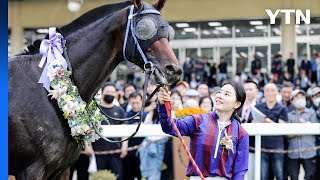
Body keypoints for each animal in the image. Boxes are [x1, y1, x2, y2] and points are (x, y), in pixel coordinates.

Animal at [8, 0, 182, 179]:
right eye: (144, 28)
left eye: (168, 32)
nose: (174, 70)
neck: (47, 90)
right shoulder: (32, 169)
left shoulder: (62, 169)